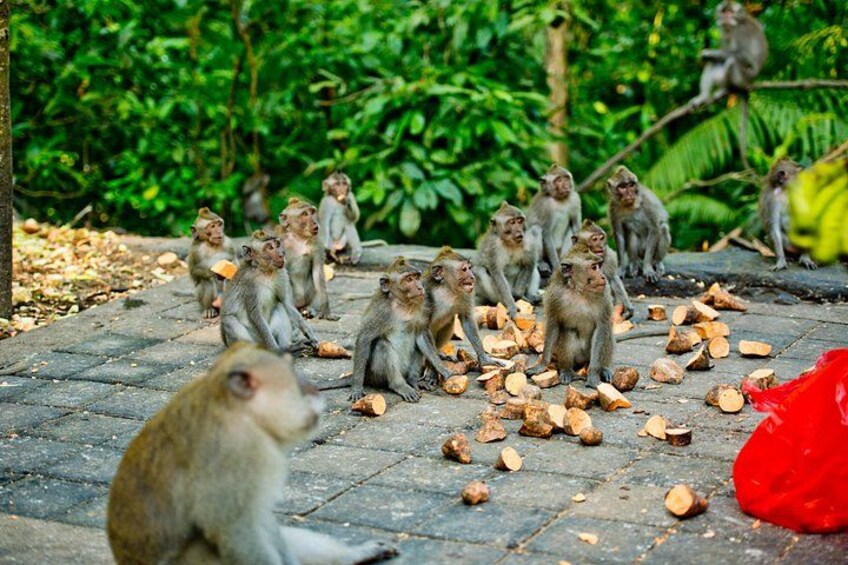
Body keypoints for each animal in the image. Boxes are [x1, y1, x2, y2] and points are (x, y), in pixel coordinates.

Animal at [107, 343, 398, 565]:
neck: (233, 407)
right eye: (292, 378)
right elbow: (237, 531)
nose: (312, 387)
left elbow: (261, 519)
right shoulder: (239, 452)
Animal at [351, 257, 452, 403]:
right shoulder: (382, 311)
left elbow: (421, 335)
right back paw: (400, 386)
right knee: (383, 345)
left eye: (416, 277)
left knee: (417, 346)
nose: (420, 287)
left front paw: (442, 369)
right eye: (408, 279)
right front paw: (357, 387)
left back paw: (413, 381)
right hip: (376, 374)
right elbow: (365, 338)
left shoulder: (423, 305)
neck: (404, 305)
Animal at [527, 250, 614, 389]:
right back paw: (567, 370)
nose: (603, 277)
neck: (578, 291)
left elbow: (602, 326)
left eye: (598, 266)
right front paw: (542, 364)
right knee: (568, 331)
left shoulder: (604, 293)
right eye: (594, 267)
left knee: (607, 331)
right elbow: (554, 324)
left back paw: (604, 369)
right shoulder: (555, 295)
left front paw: (593, 375)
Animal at [691, 1, 768, 169]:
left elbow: (742, 54)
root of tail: (749, 83)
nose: (726, 17)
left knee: (733, 61)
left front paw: (708, 52)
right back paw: (705, 96)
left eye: (730, 12)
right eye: (724, 11)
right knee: (714, 64)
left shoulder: (740, 32)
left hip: (743, 77)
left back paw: (730, 88)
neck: (734, 25)